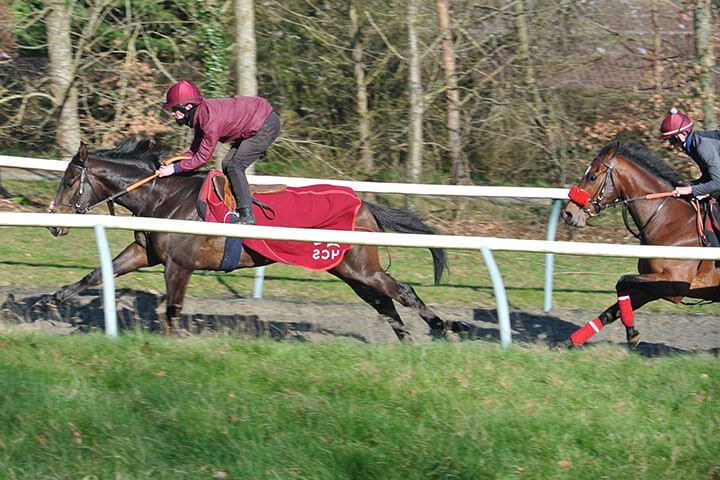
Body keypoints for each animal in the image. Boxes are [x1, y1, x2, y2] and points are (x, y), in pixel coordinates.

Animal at [43, 139, 466, 340]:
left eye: (69, 180)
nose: (52, 223)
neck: (162, 197)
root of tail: (362, 203)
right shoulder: (144, 253)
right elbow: (98, 274)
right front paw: (53, 299)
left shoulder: (179, 266)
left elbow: (172, 310)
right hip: (349, 270)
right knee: (384, 303)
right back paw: (406, 340)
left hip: (359, 266)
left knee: (403, 291)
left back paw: (446, 327)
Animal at [564, 141, 720, 346]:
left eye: (592, 176)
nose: (568, 213)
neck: (668, 222)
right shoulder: (652, 286)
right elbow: (612, 311)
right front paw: (573, 340)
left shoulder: (674, 285)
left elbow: (621, 282)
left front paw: (631, 333)